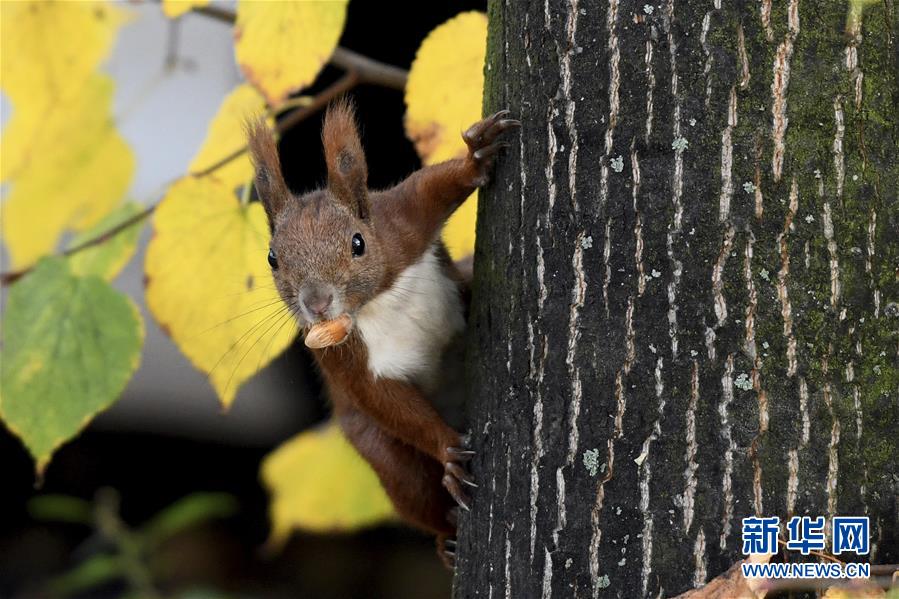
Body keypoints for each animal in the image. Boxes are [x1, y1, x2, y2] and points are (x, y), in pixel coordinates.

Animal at [248, 99, 520, 568]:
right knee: (416, 492)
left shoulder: (401, 222)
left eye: (358, 243)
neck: (375, 300)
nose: (317, 303)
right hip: (385, 457)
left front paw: (477, 155)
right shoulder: (338, 355)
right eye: (272, 258)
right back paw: (446, 538)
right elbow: (383, 398)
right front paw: (448, 450)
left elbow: (434, 188)